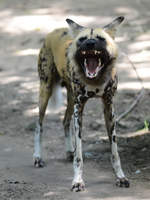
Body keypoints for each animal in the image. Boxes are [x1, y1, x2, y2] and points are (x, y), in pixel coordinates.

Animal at [33, 16, 129, 191]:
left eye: (100, 39)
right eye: (82, 39)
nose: (90, 43)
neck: (95, 81)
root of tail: (55, 31)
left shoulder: (109, 108)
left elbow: (114, 152)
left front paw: (120, 177)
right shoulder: (80, 110)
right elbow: (79, 156)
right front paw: (77, 181)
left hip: (71, 99)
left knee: (65, 121)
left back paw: (68, 151)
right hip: (45, 91)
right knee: (39, 125)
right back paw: (37, 157)